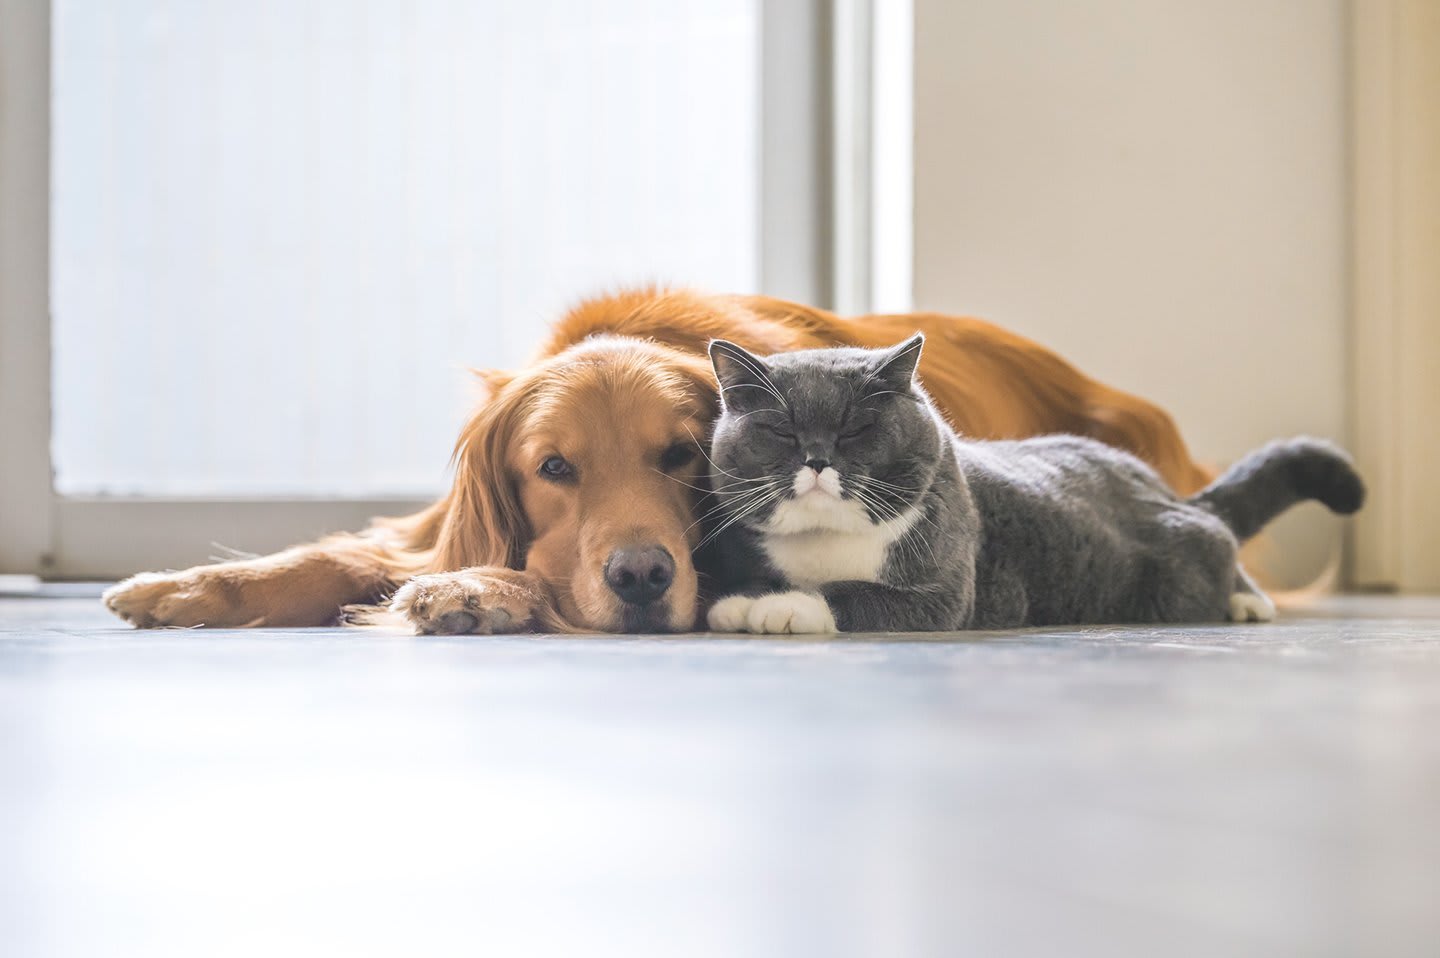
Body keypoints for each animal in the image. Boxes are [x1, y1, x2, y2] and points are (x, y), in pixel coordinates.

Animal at [101, 288, 1209, 630]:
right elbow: (341, 553)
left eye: (681, 455)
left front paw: (480, 593)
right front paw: (185, 587)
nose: (640, 577)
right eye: (553, 470)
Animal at [702, 335, 1365, 633]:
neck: (827, 540)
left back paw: (1248, 601)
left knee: (1219, 539)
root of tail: (1159, 486)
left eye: (856, 429)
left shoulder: (944, 593)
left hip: (1181, 562)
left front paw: (777, 608)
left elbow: (849, 593)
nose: (817, 460)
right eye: (782, 432)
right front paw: (744, 598)